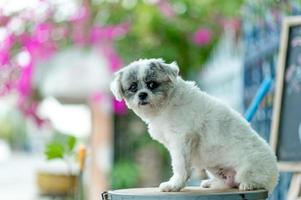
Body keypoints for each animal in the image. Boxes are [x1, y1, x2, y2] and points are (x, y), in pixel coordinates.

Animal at [110, 58, 278, 193]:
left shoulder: (181, 140)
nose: (142, 94)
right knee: (229, 183)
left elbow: (180, 166)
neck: (166, 105)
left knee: (252, 181)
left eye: (152, 84)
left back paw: (249, 184)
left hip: (249, 168)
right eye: (132, 88)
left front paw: (175, 184)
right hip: (214, 169)